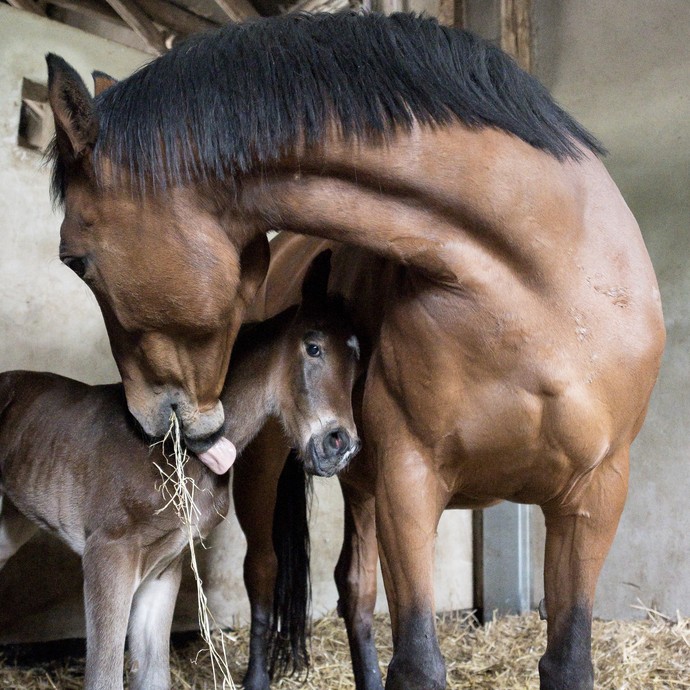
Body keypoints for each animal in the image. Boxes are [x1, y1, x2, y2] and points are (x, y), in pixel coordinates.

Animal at [45, 12, 664, 688]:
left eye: (76, 261)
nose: (146, 420)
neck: (538, 279)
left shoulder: (595, 494)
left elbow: (567, 661)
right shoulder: (409, 480)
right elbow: (417, 661)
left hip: (361, 486)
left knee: (356, 588)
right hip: (275, 471)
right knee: (266, 576)